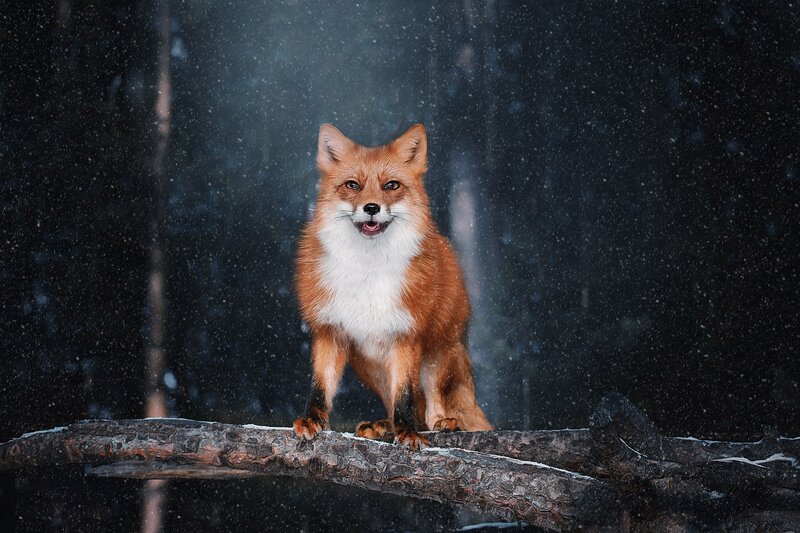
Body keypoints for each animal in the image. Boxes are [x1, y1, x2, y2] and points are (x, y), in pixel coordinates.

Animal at [292, 123, 492, 450]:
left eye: (391, 185)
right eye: (352, 185)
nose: (371, 207)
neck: (367, 271)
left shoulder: (406, 334)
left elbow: (405, 396)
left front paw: (407, 432)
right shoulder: (329, 331)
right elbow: (320, 387)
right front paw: (313, 421)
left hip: (438, 353)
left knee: (431, 403)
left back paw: (442, 424)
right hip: (368, 365)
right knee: (395, 402)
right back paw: (383, 425)